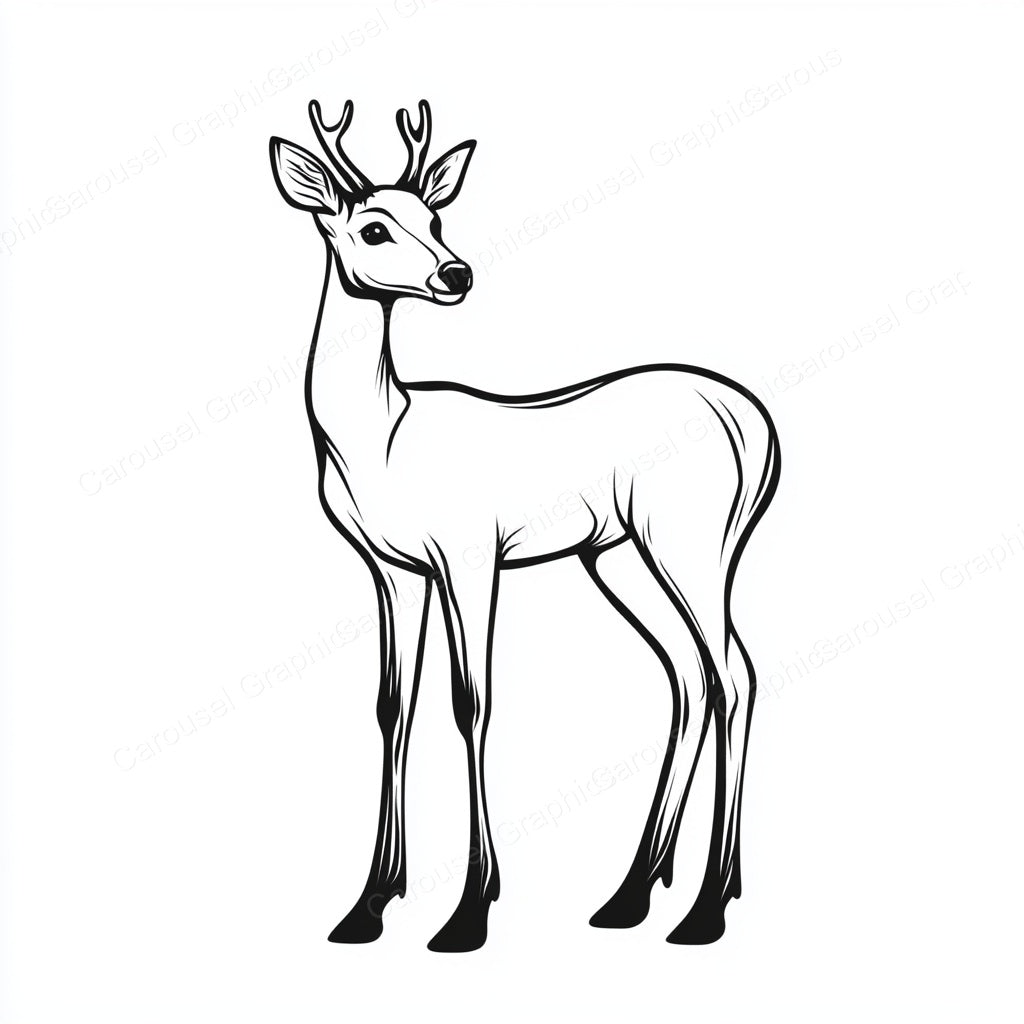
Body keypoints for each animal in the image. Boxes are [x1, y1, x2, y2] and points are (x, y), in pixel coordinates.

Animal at [269, 98, 781, 953]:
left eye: (434, 217)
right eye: (373, 228)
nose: (455, 274)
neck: (381, 438)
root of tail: (757, 424)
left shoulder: (471, 557)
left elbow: (471, 701)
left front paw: (469, 912)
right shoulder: (392, 570)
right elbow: (391, 706)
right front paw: (368, 905)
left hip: (691, 542)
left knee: (733, 672)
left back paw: (707, 906)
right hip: (616, 555)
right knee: (685, 673)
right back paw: (630, 895)